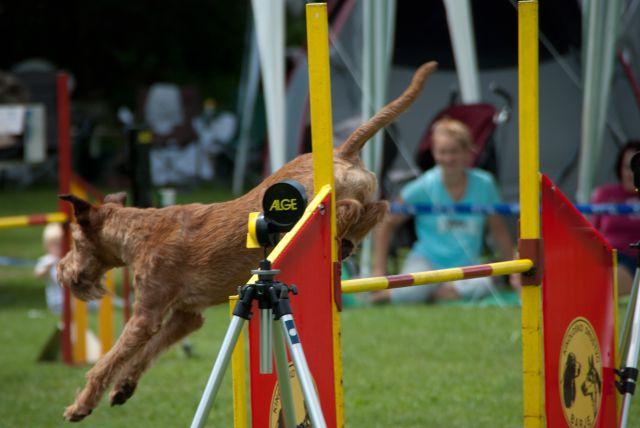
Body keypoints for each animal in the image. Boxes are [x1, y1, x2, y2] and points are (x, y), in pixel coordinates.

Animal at [57, 61, 438, 422]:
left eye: (75, 240)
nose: (61, 272)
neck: (141, 232)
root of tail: (342, 152)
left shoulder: (145, 315)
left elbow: (108, 360)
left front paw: (80, 406)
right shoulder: (186, 316)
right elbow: (147, 354)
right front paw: (123, 388)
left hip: (323, 201)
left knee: (352, 207)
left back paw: (341, 232)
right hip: (368, 190)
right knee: (380, 206)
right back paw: (346, 242)